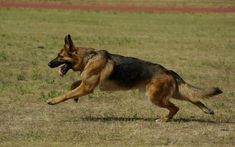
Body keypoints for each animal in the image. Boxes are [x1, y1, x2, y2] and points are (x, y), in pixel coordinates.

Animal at [47, 34, 222, 121]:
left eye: (59, 56)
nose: (48, 64)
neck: (88, 57)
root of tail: (168, 71)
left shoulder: (87, 87)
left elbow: (67, 93)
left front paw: (53, 100)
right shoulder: (86, 84)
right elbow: (74, 85)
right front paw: (75, 97)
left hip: (155, 97)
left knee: (176, 108)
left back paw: (164, 119)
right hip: (173, 93)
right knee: (193, 97)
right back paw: (206, 110)